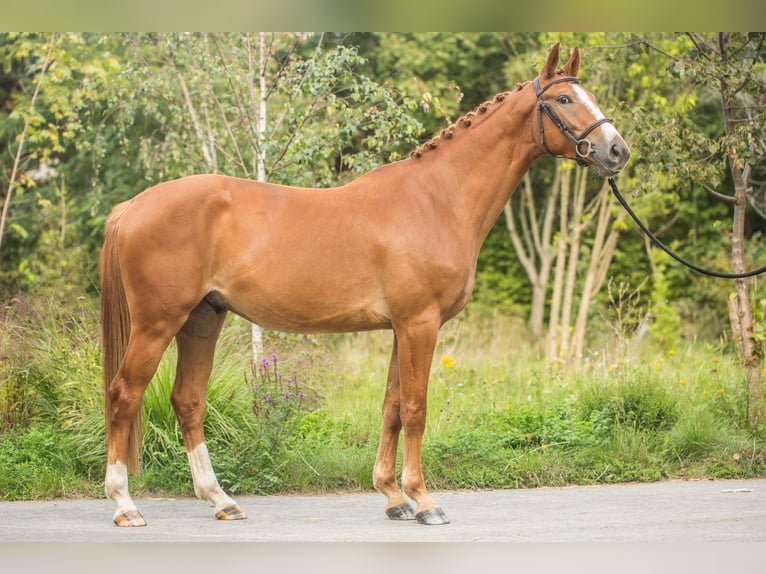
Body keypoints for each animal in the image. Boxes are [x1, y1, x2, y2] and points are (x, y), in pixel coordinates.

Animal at [100, 42, 632, 528]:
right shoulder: (420, 323)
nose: (617, 150)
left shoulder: (402, 327)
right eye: (563, 99)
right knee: (124, 394)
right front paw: (425, 501)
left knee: (188, 401)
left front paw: (394, 497)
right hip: (158, 322)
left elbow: (392, 406)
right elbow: (416, 408)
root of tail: (133, 206)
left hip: (202, 319)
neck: (436, 199)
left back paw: (221, 500)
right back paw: (125, 505)